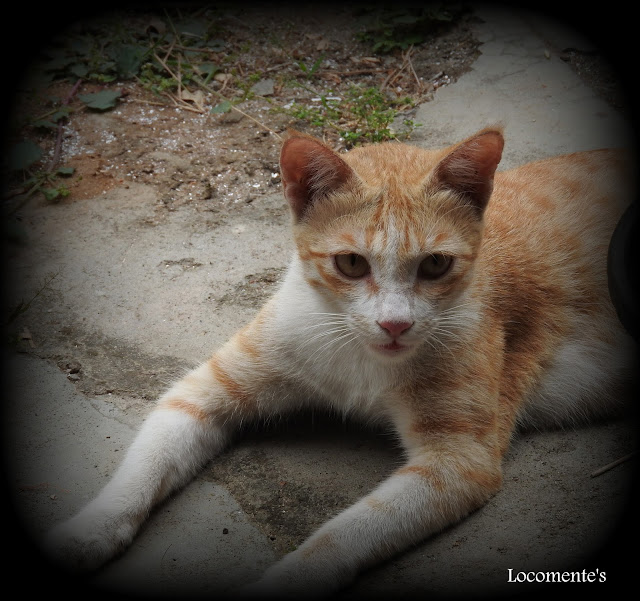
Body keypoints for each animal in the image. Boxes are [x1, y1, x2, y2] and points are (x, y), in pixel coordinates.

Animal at [45, 127, 636, 597]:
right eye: (351, 263)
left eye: (436, 265)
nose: (395, 325)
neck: (361, 360)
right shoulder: (200, 394)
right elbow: (143, 468)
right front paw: (86, 534)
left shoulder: (458, 463)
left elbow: (343, 534)